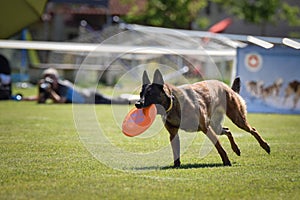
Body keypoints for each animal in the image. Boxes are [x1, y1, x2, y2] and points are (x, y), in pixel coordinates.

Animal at [135, 69, 270, 168]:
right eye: (141, 94)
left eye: (150, 94)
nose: (137, 104)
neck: (173, 103)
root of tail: (227, 87)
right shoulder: (173, 134)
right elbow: (176, 151)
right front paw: (176, 166)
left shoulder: (205, 128)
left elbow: (219, 146)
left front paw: (226, 162)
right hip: (216, 127)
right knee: (228, 130)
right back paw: (236, 149)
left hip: (237, 119)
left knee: (252, 129)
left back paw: (265, 146)